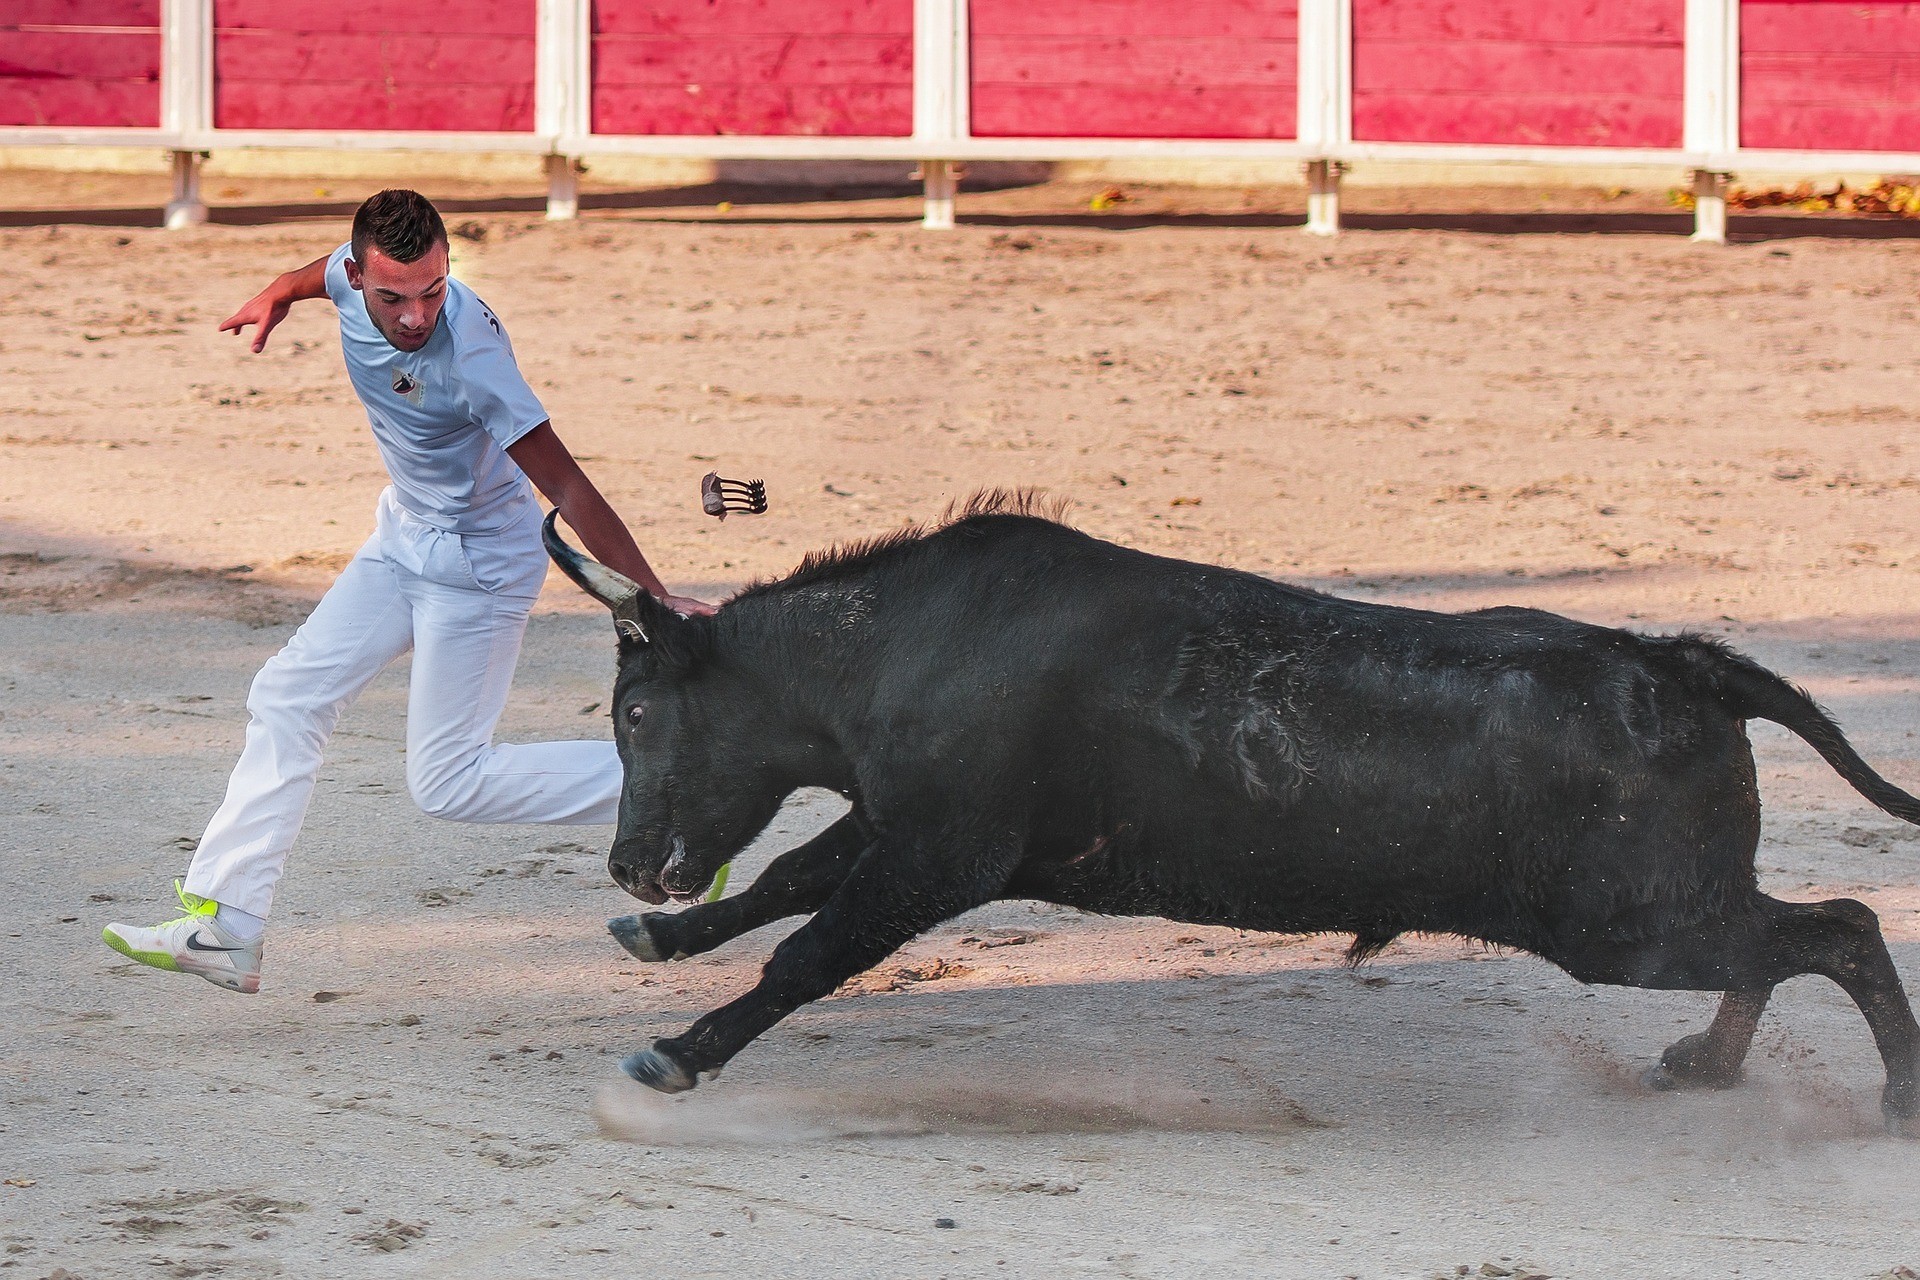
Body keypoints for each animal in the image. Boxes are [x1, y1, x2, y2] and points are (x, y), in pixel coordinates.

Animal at [541, 498, 1920, 1128]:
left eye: (637, 712)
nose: (630, 869)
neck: (899, 646)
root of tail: (1682, 661)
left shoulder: (941, 851)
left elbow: (808, 949)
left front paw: (675, 1052)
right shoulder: (902, 825)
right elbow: (787, 883)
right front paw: (658, 945)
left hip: (1627, 925)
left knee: (1839, 927)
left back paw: (1892, 1103)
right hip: (1661, 912)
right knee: (1792, 936)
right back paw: (1707, 1064)